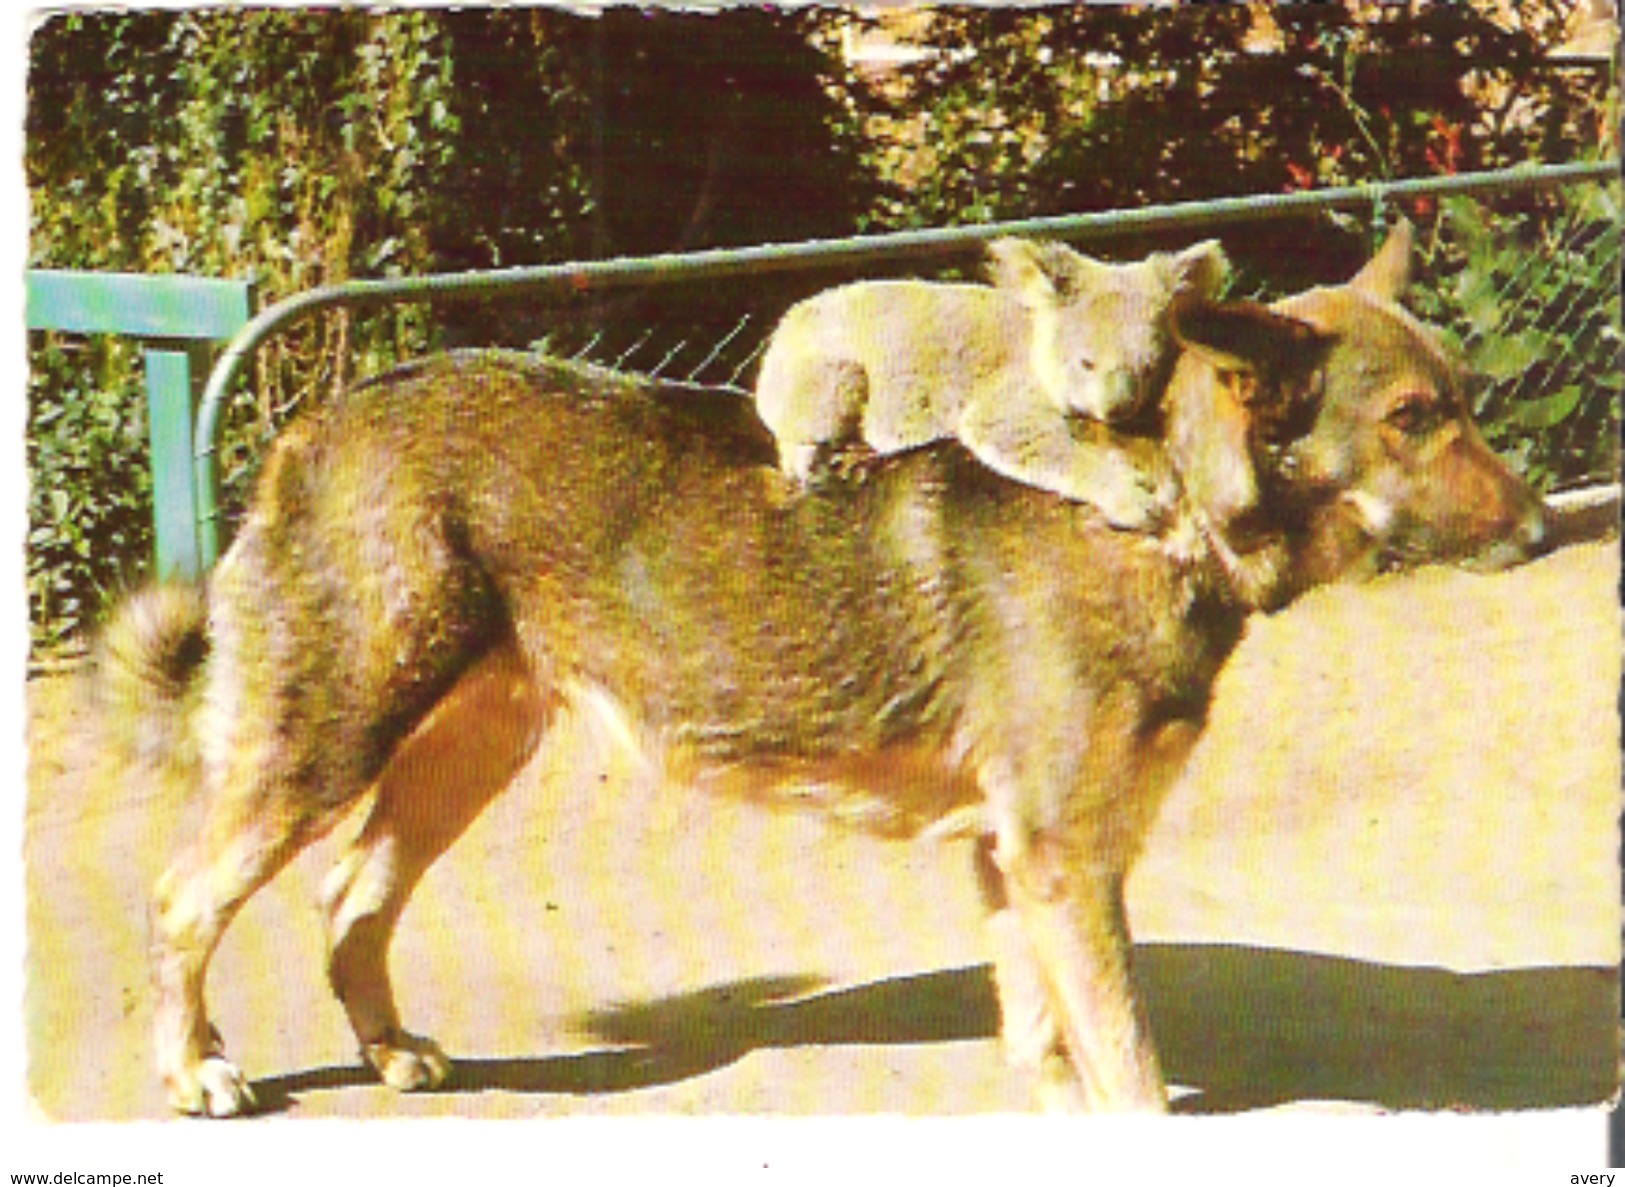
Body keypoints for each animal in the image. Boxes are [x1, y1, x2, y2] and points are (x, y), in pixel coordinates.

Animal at [754, 234, 1222, 523]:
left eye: (1149, 368)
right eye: (1086, 363)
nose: (1118, 409)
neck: (1036, 342)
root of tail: (781, 331)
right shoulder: (1009, 390)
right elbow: (1015, 433)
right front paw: (1133, 498)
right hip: (830, 372)